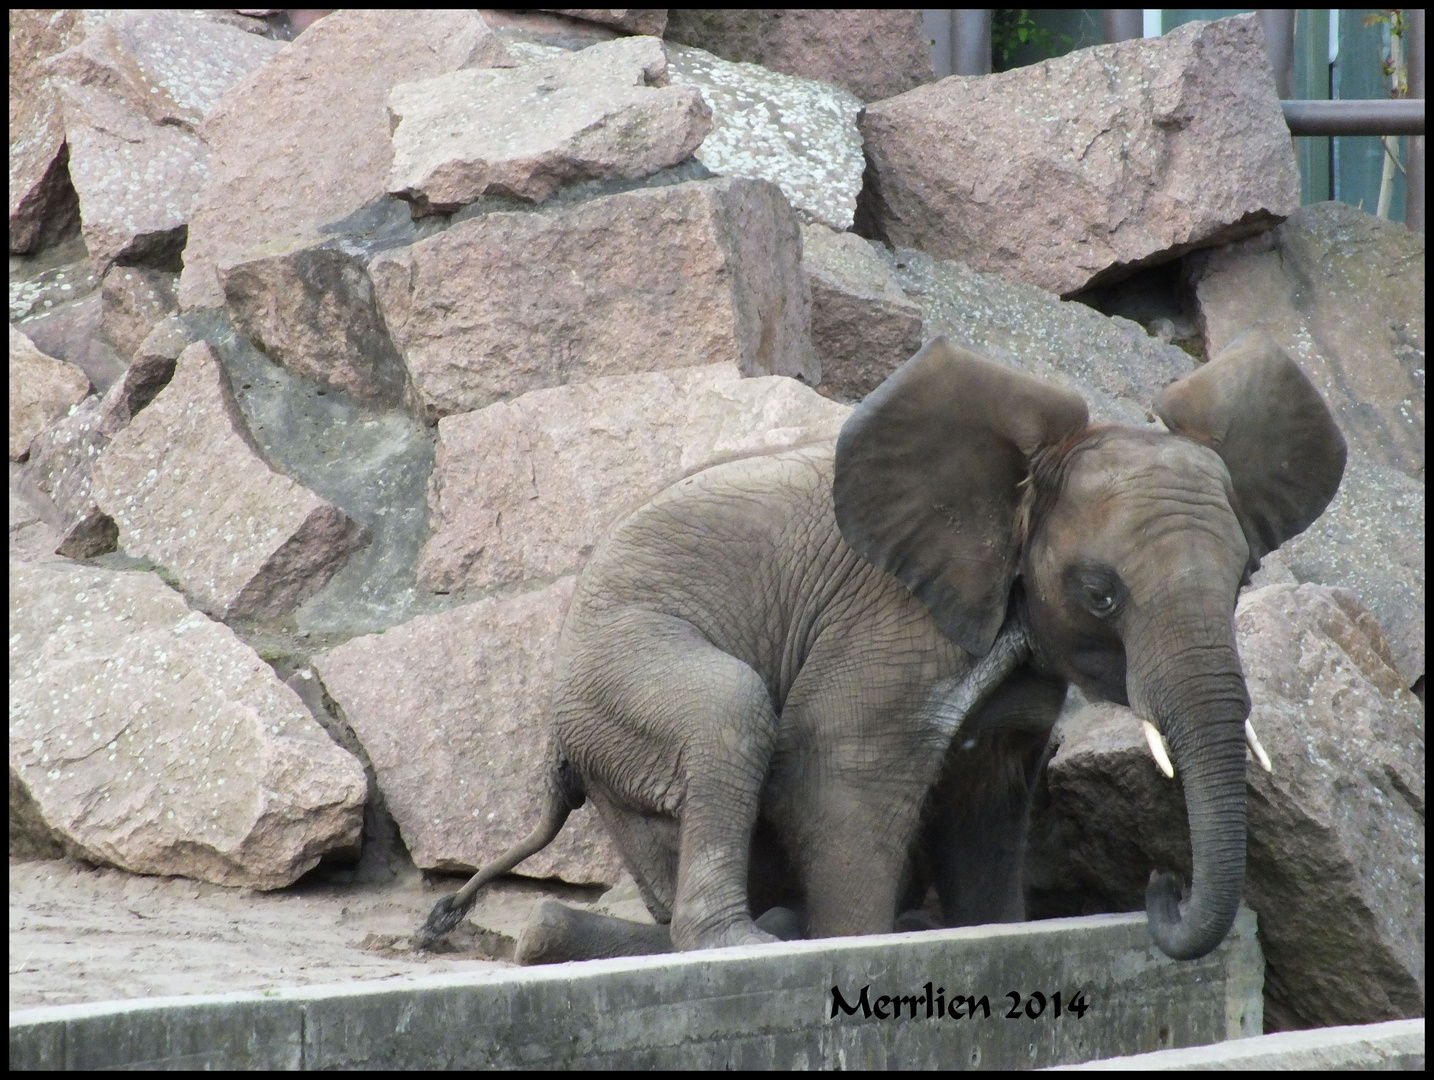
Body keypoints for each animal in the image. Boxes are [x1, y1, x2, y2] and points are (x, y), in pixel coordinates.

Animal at [418, 328, 1342, 958]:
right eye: (1099, 592)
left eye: (1245, 580)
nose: (1163, 885)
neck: (1015, 484)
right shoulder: (889, 616)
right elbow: (838, 767)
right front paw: (857, 941)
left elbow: (990, 791)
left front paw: (987, 929)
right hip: (615, 670)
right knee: (728, 711)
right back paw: (749, 941)